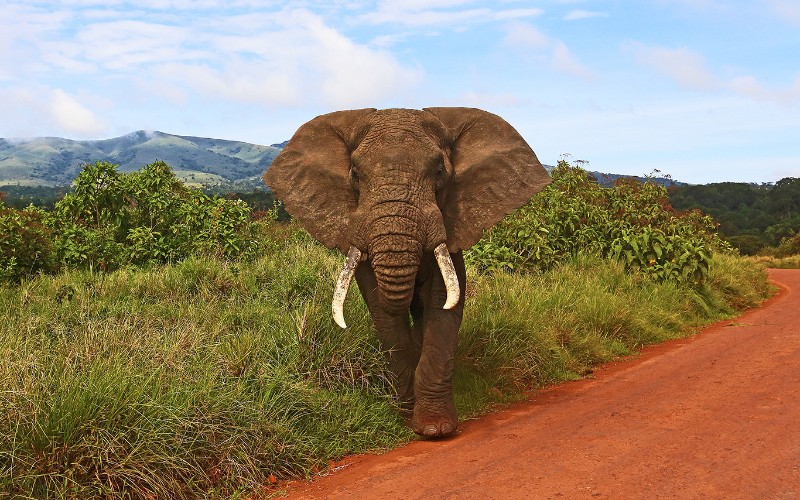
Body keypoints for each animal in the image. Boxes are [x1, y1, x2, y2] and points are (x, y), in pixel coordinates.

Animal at [264, 107, 550, 438]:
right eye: (355, 175)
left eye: (439, 171)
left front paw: (435, 429)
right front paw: (405, 414)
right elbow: (382, 310)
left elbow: (442, 302)